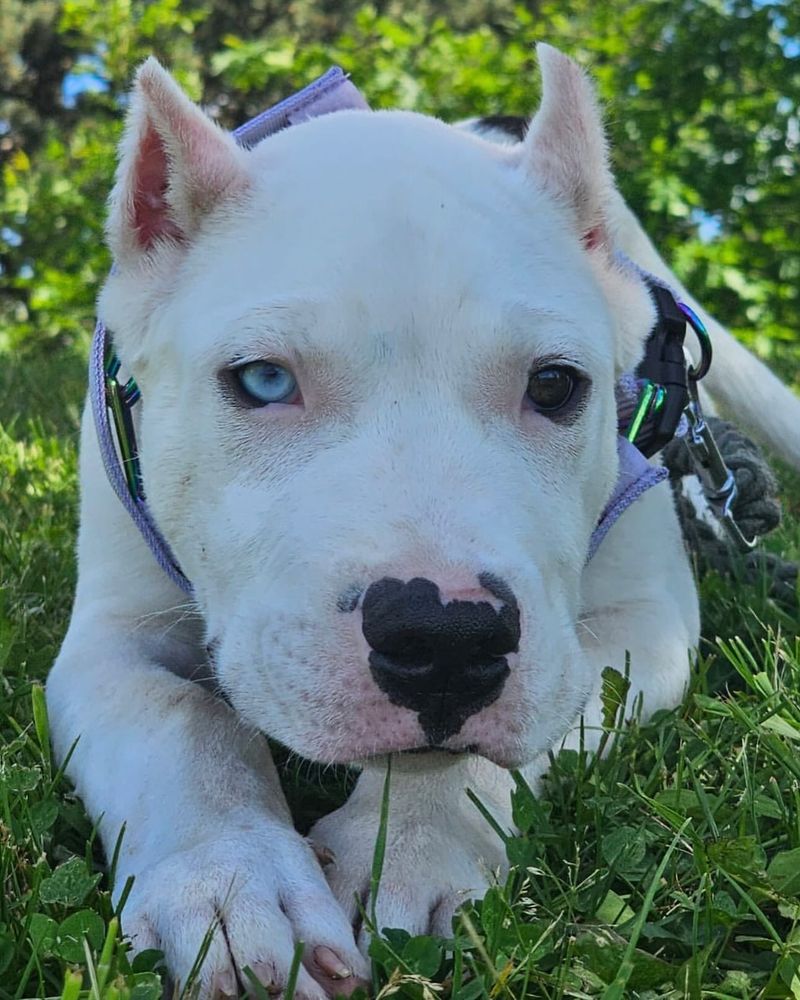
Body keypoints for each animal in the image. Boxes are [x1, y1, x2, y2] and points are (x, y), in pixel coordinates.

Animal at [48, 45, 800, 1000]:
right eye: (261, 380)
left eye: (555, 385)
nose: (445, 639)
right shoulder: (112, 639)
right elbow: (178, 720)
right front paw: (231, 883)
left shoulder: (644, 625)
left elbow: (521, 731)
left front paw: (411, 847)